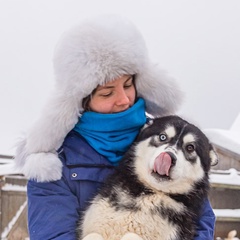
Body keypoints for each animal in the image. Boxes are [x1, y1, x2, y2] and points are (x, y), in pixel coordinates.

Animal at [78, 115, 218, 239]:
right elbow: (93, 235)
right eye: (162, 137)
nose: (168, 157)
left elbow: (131, 235)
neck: (149, 193)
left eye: (190, 147)